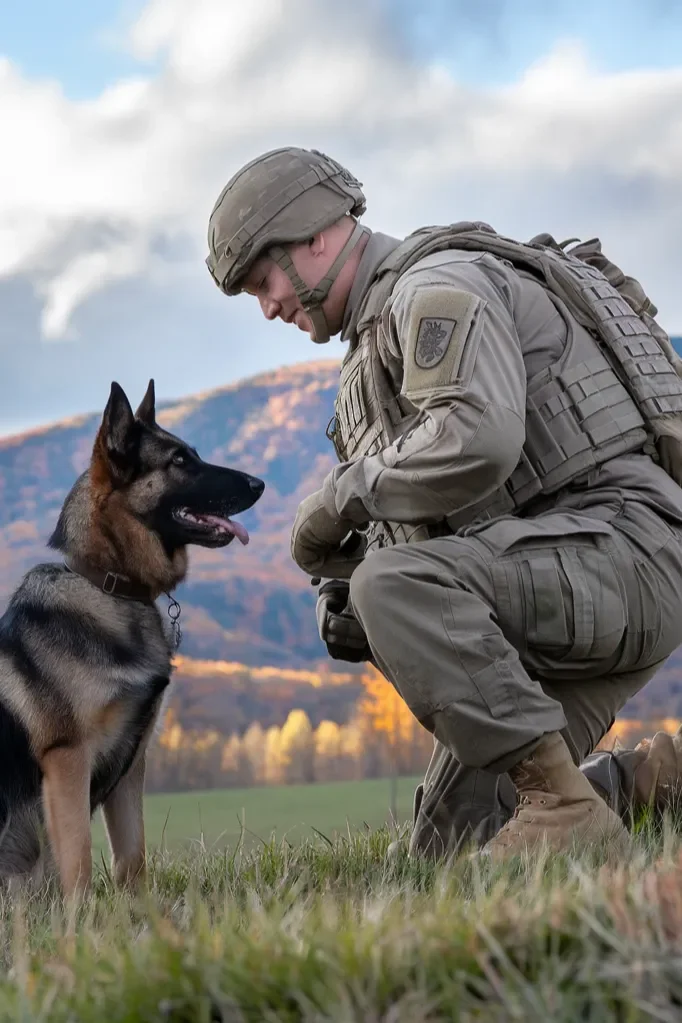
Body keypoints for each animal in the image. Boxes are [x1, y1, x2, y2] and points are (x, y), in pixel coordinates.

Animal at [0, 380, 263, 900]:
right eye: (179, 461)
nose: (259, 485)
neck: (108, 586)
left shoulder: (131, 767)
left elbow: (133, 858)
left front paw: (139, 915)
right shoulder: (68, 763)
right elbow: (79, 860)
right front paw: (81, 919)